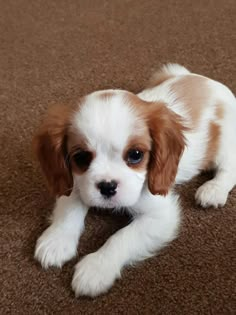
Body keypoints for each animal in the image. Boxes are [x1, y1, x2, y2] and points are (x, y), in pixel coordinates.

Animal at [33, 65, 236, 298]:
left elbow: (122, 237)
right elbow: (69, 209)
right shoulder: (75, 183)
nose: (107, 186)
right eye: (81, 158)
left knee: (230, 167)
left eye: (136, 155)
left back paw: (213, 190)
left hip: (224, 144)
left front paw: (96, 268)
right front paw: (56, 241)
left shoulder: (160, 216)